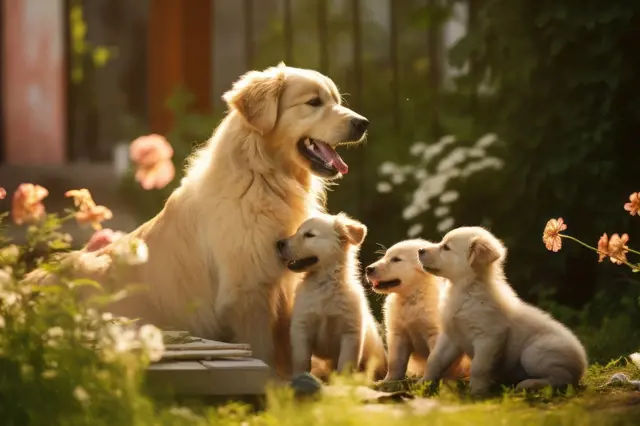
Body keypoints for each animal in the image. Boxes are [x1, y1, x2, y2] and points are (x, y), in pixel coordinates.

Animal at [27, 63, 368, 376]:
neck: (263, 176)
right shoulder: (248, 291)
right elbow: (265, 353)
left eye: (336, 99)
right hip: (91, 267)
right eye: (314, 102)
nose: (362, 123)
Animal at [278, 215, 388, 382]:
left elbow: (345, 364)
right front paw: (300, 377)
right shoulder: (301, 327)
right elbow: (301, 359)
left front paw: (343, 383)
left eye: (309, 235)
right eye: (297, 231)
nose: (279, 244)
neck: (325, 283)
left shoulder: (351, 333)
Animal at [364, 240, 470, 382]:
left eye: (396, 259)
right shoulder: (398, 335)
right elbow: (395, 361)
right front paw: (388, 381)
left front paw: (427, 380)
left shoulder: (435, 334)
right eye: (385, 256)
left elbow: (433, 358)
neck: (411, 298)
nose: (368, 269)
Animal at [418, 226, 588, 396]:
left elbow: (478, 367)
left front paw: (477, 392)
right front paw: (424, 383)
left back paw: (528, 384)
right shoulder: (451, 336)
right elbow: (434, 359)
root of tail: (583, 363)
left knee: (561, 380)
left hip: (533, 353)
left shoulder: (488, 337)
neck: (464, 289)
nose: (420, 250)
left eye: (446, 248)